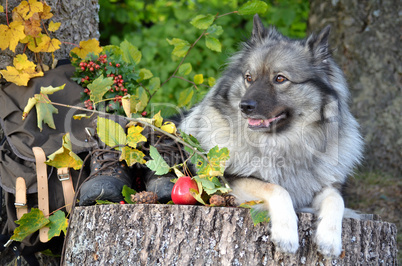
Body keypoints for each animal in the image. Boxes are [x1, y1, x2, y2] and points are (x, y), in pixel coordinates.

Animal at [178, 13, 362, 256]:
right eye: (249, 77)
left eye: (280, 79)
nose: (245, 106)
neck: (283, 144)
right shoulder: (231, 183)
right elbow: (276, 188)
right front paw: (287, 234)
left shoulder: (322, 187)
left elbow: (336, 200)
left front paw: (330, 239)